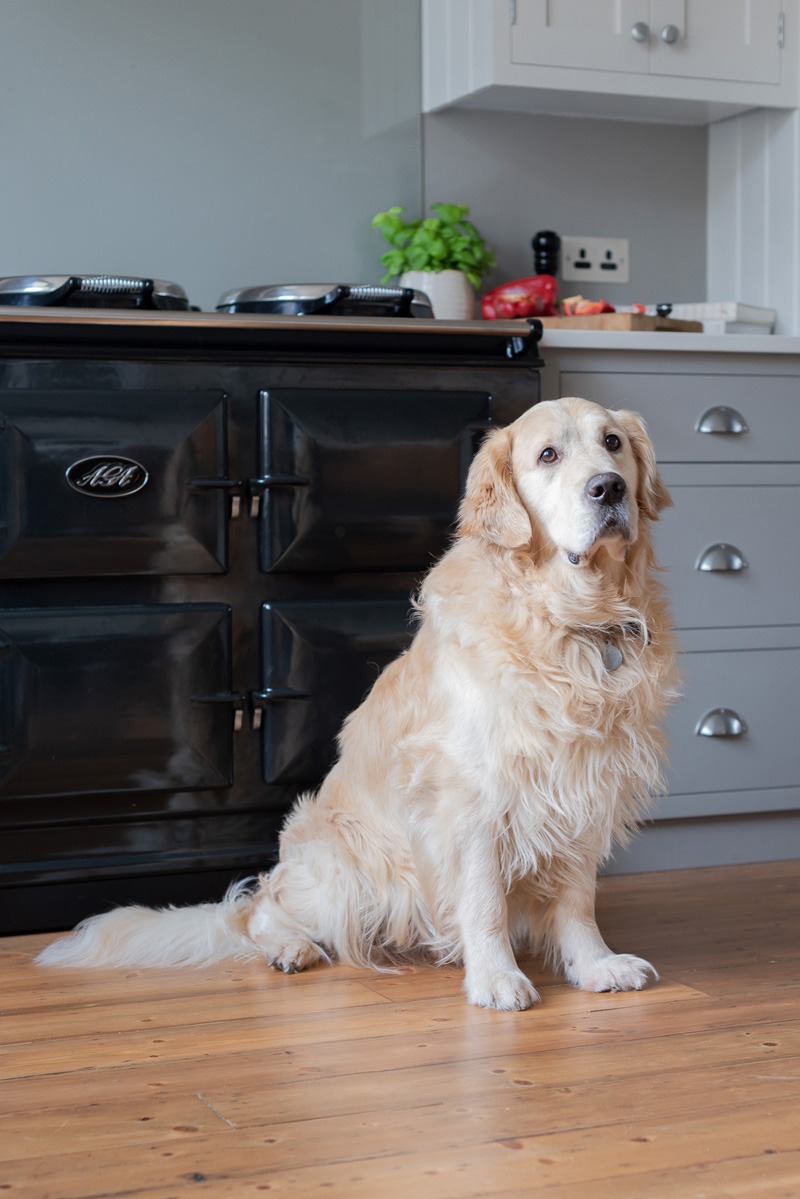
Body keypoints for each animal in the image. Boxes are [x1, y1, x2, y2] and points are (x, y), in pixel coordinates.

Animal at [37, 398, 681, 1007]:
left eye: (612, 443)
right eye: (548, 455)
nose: (609, 488)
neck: (573, 620)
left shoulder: (583, 783)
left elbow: (576, 900)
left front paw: (595, 965)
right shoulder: (473, 797)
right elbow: (483, 903)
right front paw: (496, 979)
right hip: (352, 871)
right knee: (258, 908)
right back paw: (290, 947)